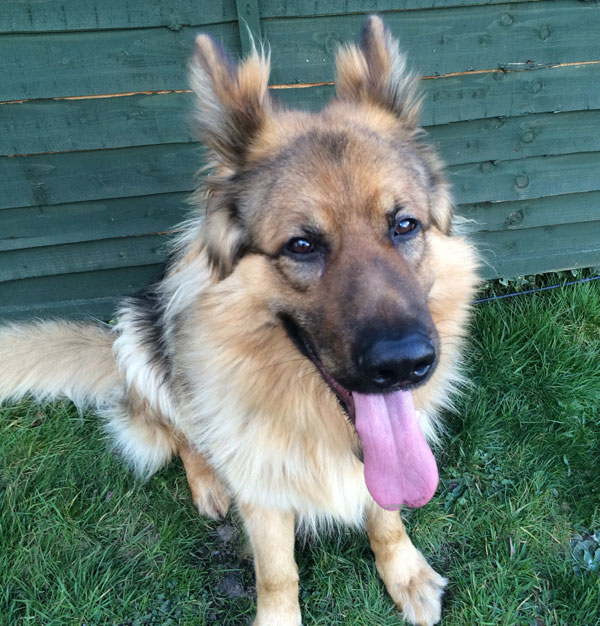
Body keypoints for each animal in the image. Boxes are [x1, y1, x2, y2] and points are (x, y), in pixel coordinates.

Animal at [0, 17, 478, 624]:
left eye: (404, 225)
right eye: (302, 245)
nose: (405, 366)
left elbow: (386, 519)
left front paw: (406, 572)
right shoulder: (262, 489)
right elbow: (277, 572)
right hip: (138, 335)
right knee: (181, 432)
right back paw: (208, 481)